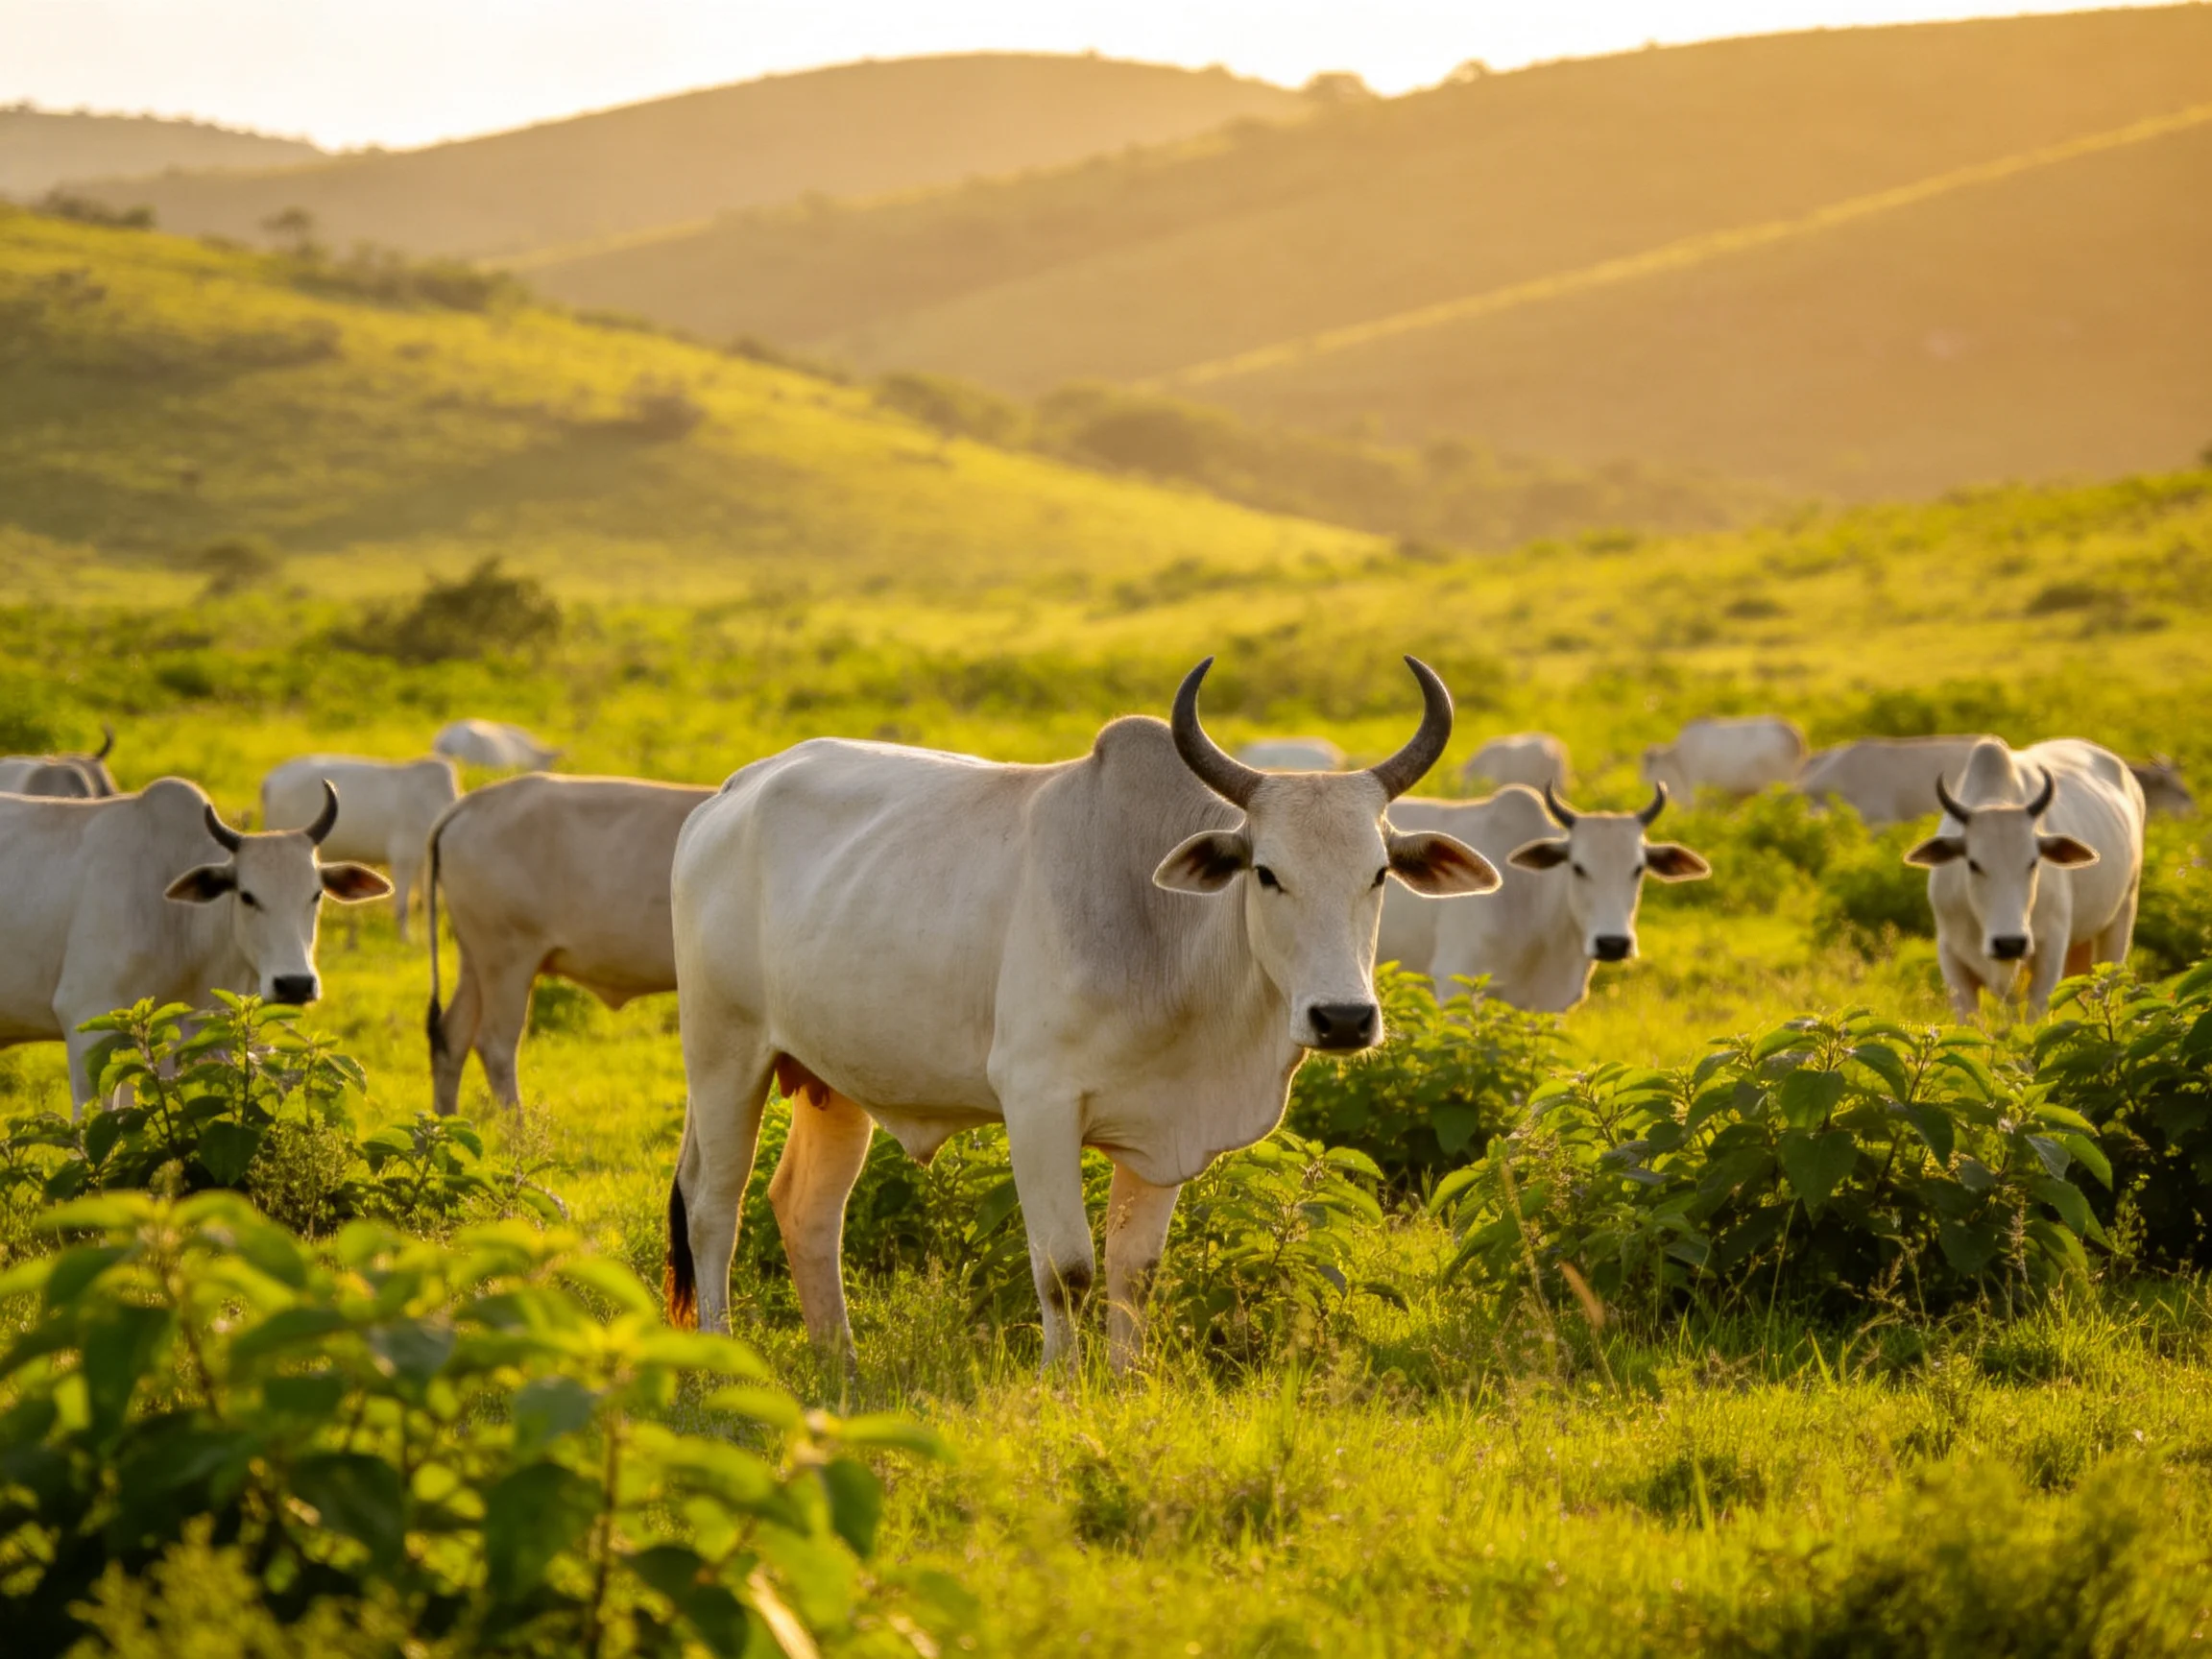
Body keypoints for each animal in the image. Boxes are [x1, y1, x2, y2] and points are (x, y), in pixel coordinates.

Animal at [260, 756, 458, 942]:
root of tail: (271, 780)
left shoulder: (423, 862)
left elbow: (429, 899)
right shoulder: (403, 857)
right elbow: (403, 906)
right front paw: (405, 939)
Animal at [425, 773, 713, 1116]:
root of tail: (470, 803)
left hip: (474, 960)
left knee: (451, 1037)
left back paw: (447, 1123)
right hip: (507, 960)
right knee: (495, 1044)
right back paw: (518, 1128)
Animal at [664, 657, 1497, 1370]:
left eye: (1379, 874)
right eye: (1266, 873)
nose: (1344, 1019)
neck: (1166, 937)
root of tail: (732, 792)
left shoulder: (1165, 1127)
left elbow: (1137, 1272)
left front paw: (1128, 1381)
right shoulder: (1037, 1105)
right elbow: (1066, 1270)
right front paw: (1062, 1383)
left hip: (832, 1082)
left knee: (806, 1209)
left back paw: (842, 1364)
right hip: (724, 1056)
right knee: (714, 1206)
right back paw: (721, 1353)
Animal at [1904, 739, 2144, 1020]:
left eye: (2033, 862)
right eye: (1973, 864)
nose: (2009, 943)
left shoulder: (2049, 953)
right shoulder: (1951, 958)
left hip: (2121, 917)